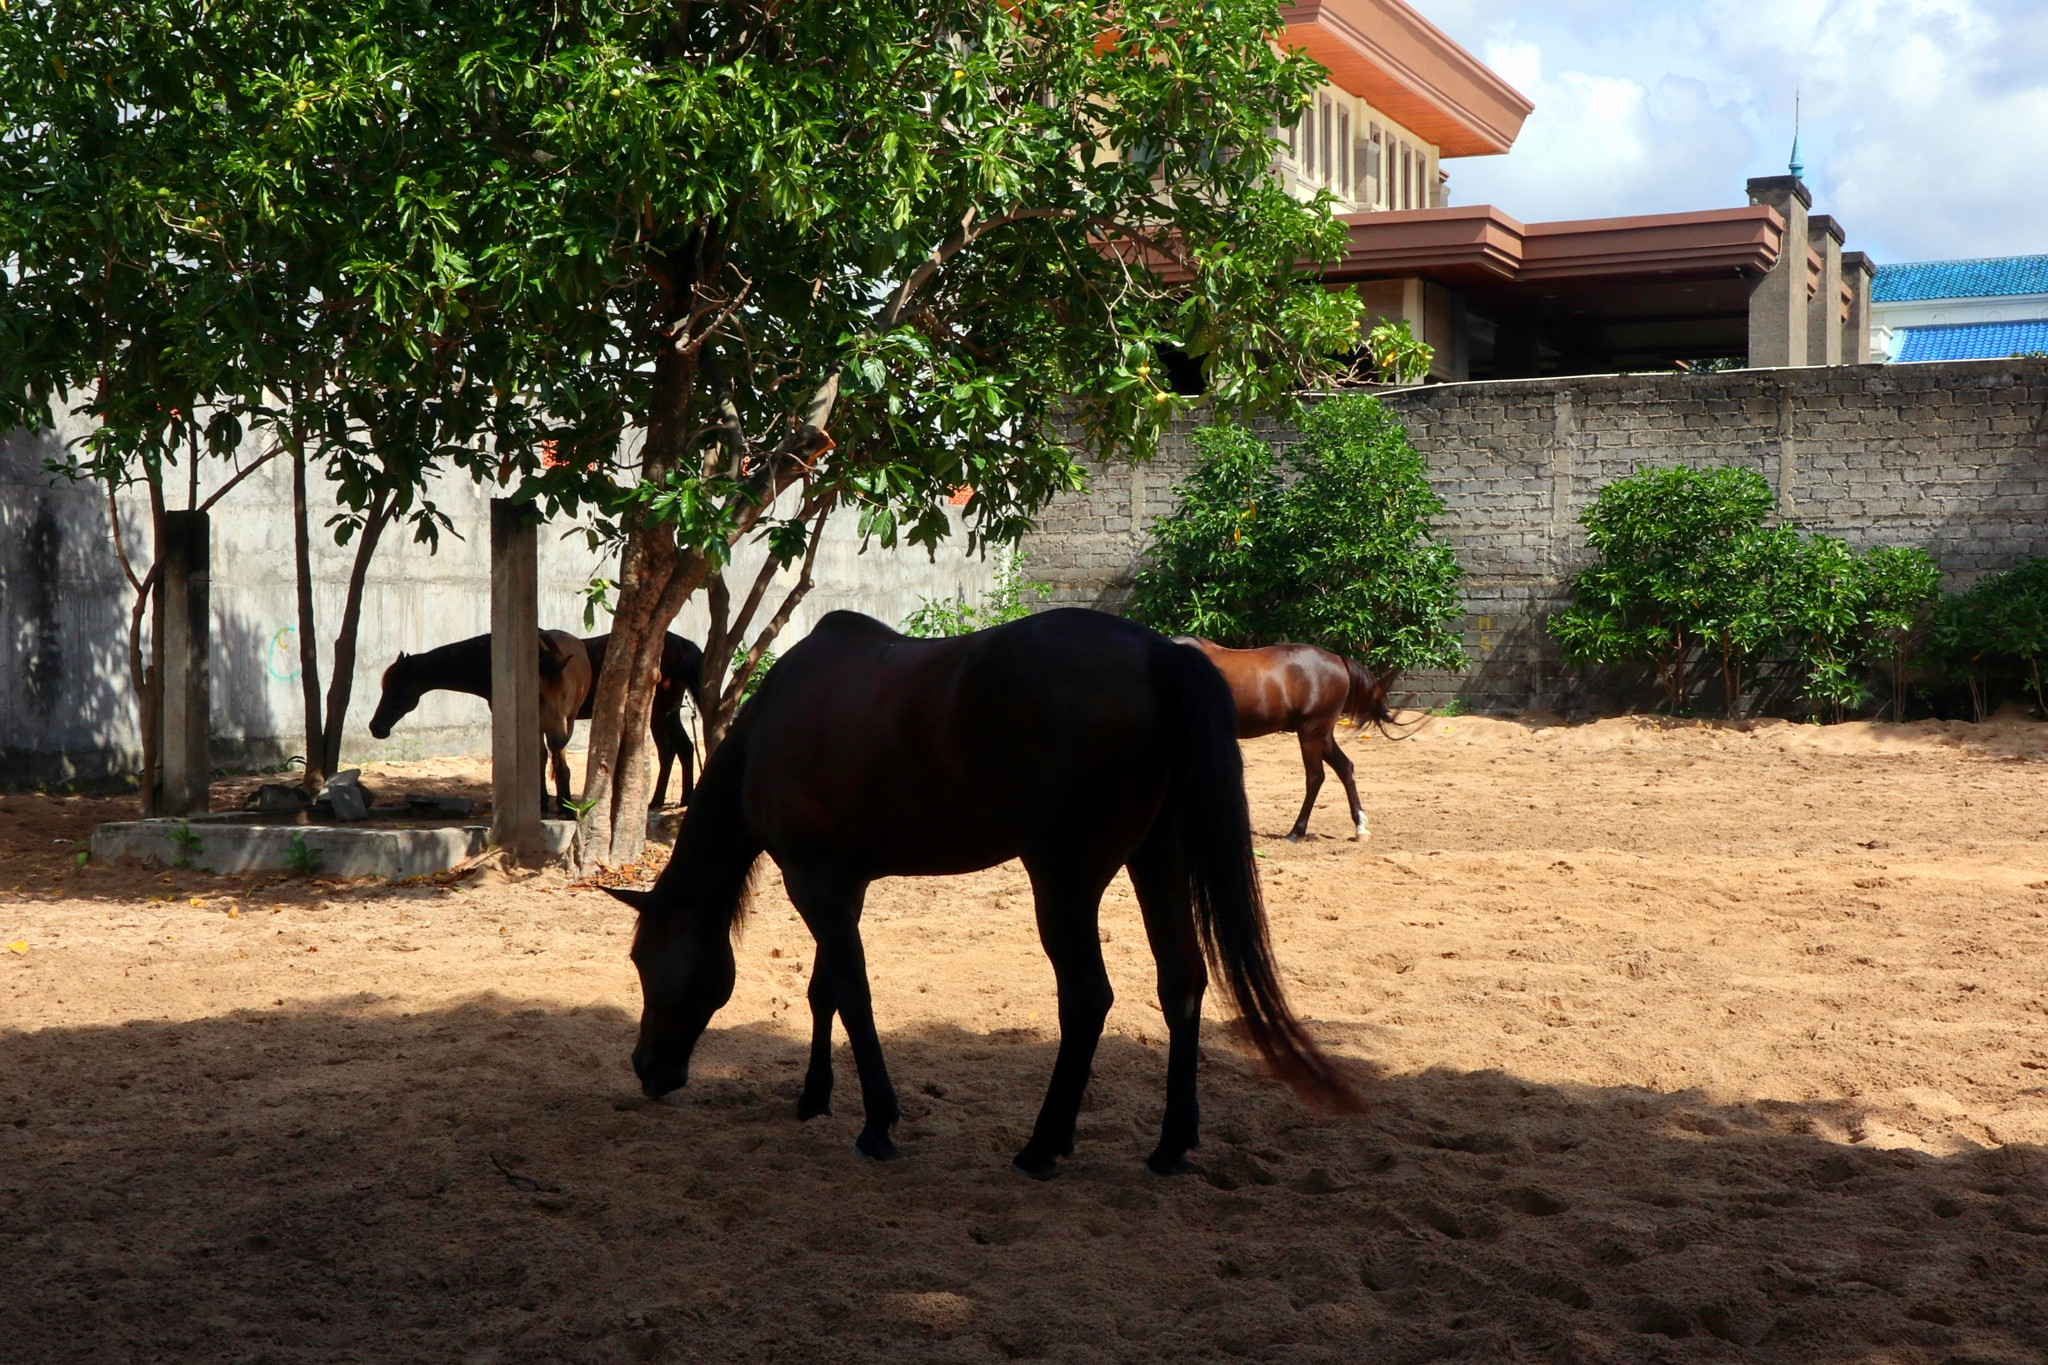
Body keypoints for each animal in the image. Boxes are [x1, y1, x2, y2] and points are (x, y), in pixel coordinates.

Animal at [602, 609, 1359, 1178]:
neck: (769, 729)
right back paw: (1170, 1144)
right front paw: (815, 1097)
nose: (644, 1068)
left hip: (1064, 880)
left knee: (1087, 998)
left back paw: (1041, 1147)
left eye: (642, 961)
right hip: (1157, 861)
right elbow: (827, 991)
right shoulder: (841, 885)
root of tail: (1159, 657)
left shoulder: (814, 884)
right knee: (1182, 983)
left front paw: (877, 1123)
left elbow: (854, 994)